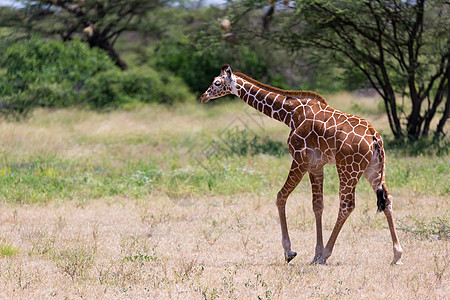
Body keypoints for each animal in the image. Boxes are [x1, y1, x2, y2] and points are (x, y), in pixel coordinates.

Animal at [199, 63, 402, 264]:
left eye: (217, 83)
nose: (203, 97)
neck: (290, 114)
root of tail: (375, 138)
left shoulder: (300, 160)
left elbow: (281, 197)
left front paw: (290, 251)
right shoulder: (316, 166)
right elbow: (317, 205)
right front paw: (315, 253)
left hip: (347, 168)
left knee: (347, 205)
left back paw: (326, 255)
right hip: (373, 169)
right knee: (387, 199)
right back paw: (397, 254)